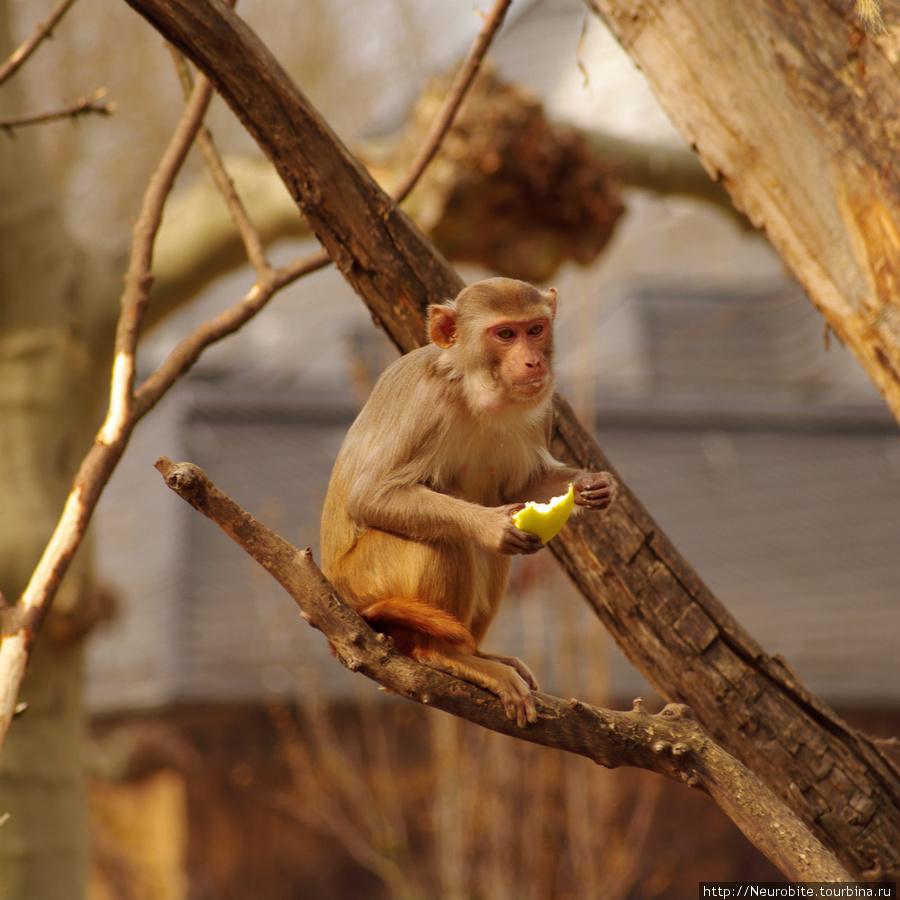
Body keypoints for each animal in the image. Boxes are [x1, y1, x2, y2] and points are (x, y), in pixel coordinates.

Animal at [320, 278, 616, 728]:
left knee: (490, 554)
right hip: (365, 580)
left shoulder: (543, 409)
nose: (532, 361)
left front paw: (589, 486)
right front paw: (492, 526)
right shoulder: (426, 405)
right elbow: (371, 496)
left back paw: (477, 652)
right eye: (505, 334)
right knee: (443, 537)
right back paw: (443, 653)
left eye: (536, 330)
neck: (474, 391)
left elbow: (521, 486)